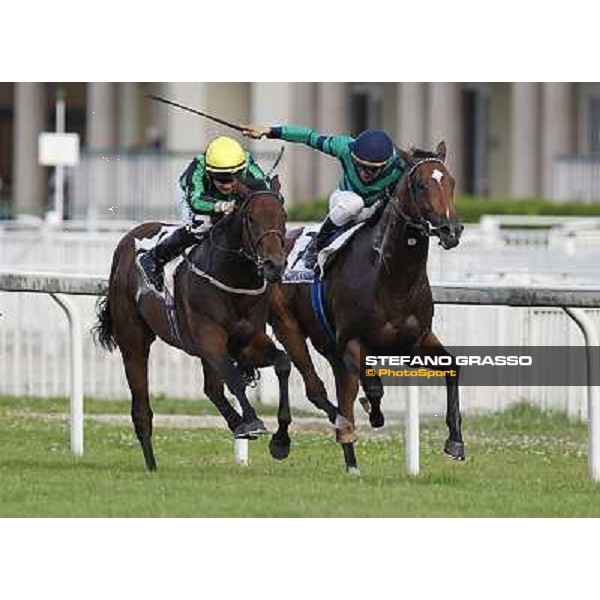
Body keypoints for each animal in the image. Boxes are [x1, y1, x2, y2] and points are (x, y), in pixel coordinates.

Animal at [94, 176, 290, 472]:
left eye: (283, 216)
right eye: (251, 219)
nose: (274, 266)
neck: (232, 279)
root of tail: (128, 239)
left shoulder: (246, 342)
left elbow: (282, 363)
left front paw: (281, 440)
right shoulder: (209, 338)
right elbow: (234, 378)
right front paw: (253, 421)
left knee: (212, 389)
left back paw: (236, 423)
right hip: (133, 340)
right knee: (141, 409)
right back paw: (151, 464)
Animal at [270, 142, 466, 474]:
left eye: (451, 182)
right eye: (421, 185)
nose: (450, 230)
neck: (391, 276)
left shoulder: (417, 339)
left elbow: (452, 367)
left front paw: (455, 441)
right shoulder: (353, 342)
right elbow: (372, 387)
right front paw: (369, 418)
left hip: (327, 344)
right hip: (289, 327)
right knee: (316, 388)